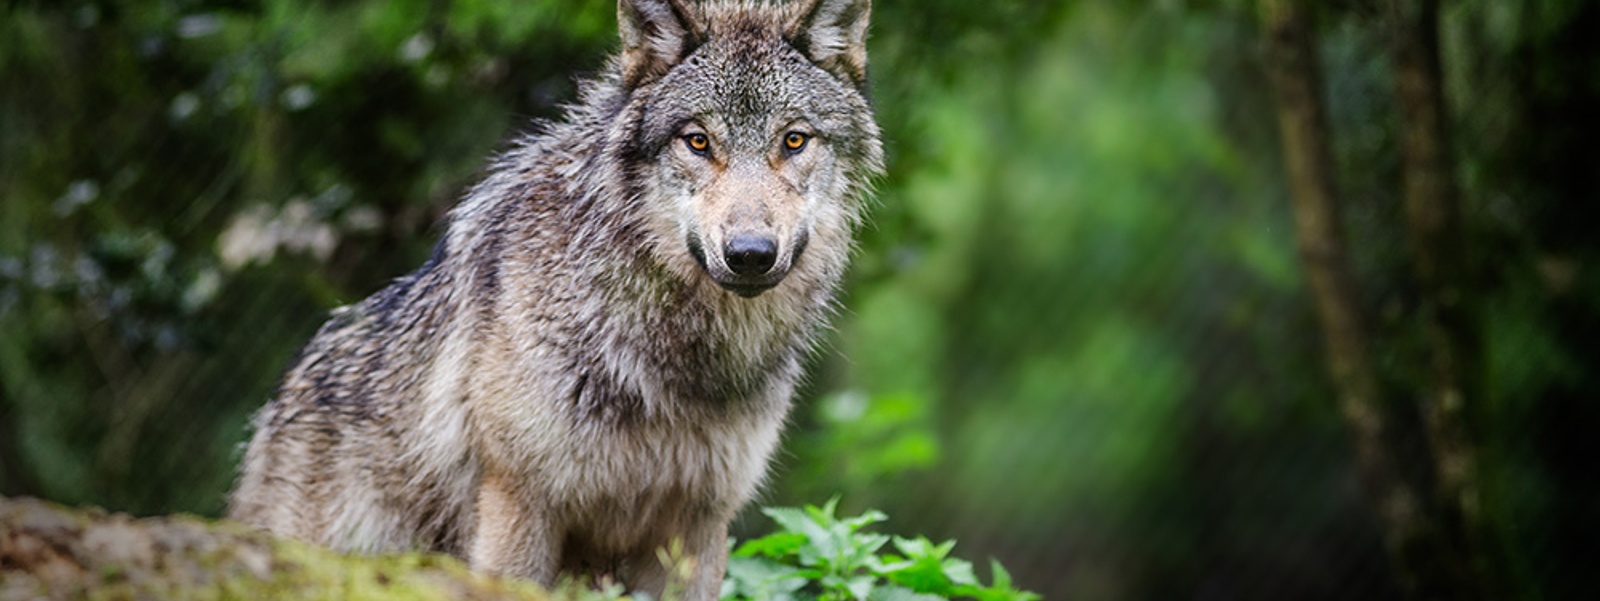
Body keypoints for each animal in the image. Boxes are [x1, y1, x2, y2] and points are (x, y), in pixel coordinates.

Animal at [226, 0, 881, 598]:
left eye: (793, 140)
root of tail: (279, 403)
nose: (750, 253)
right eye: (697, 141)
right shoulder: (519, 504)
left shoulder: (696, 526)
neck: (674, 361)